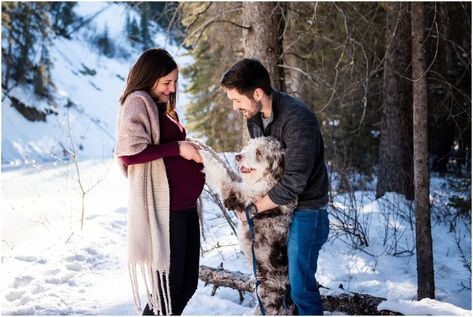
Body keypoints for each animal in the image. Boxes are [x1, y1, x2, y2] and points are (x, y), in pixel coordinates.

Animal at [198, 136, 296, 314]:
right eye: (249, 146)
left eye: (259, 153)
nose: (238, 156)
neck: (268, 181)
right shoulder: (239, 183)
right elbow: (223, 164)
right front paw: (198, 143)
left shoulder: (235, 194)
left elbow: (219, 171)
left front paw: (202, 154)